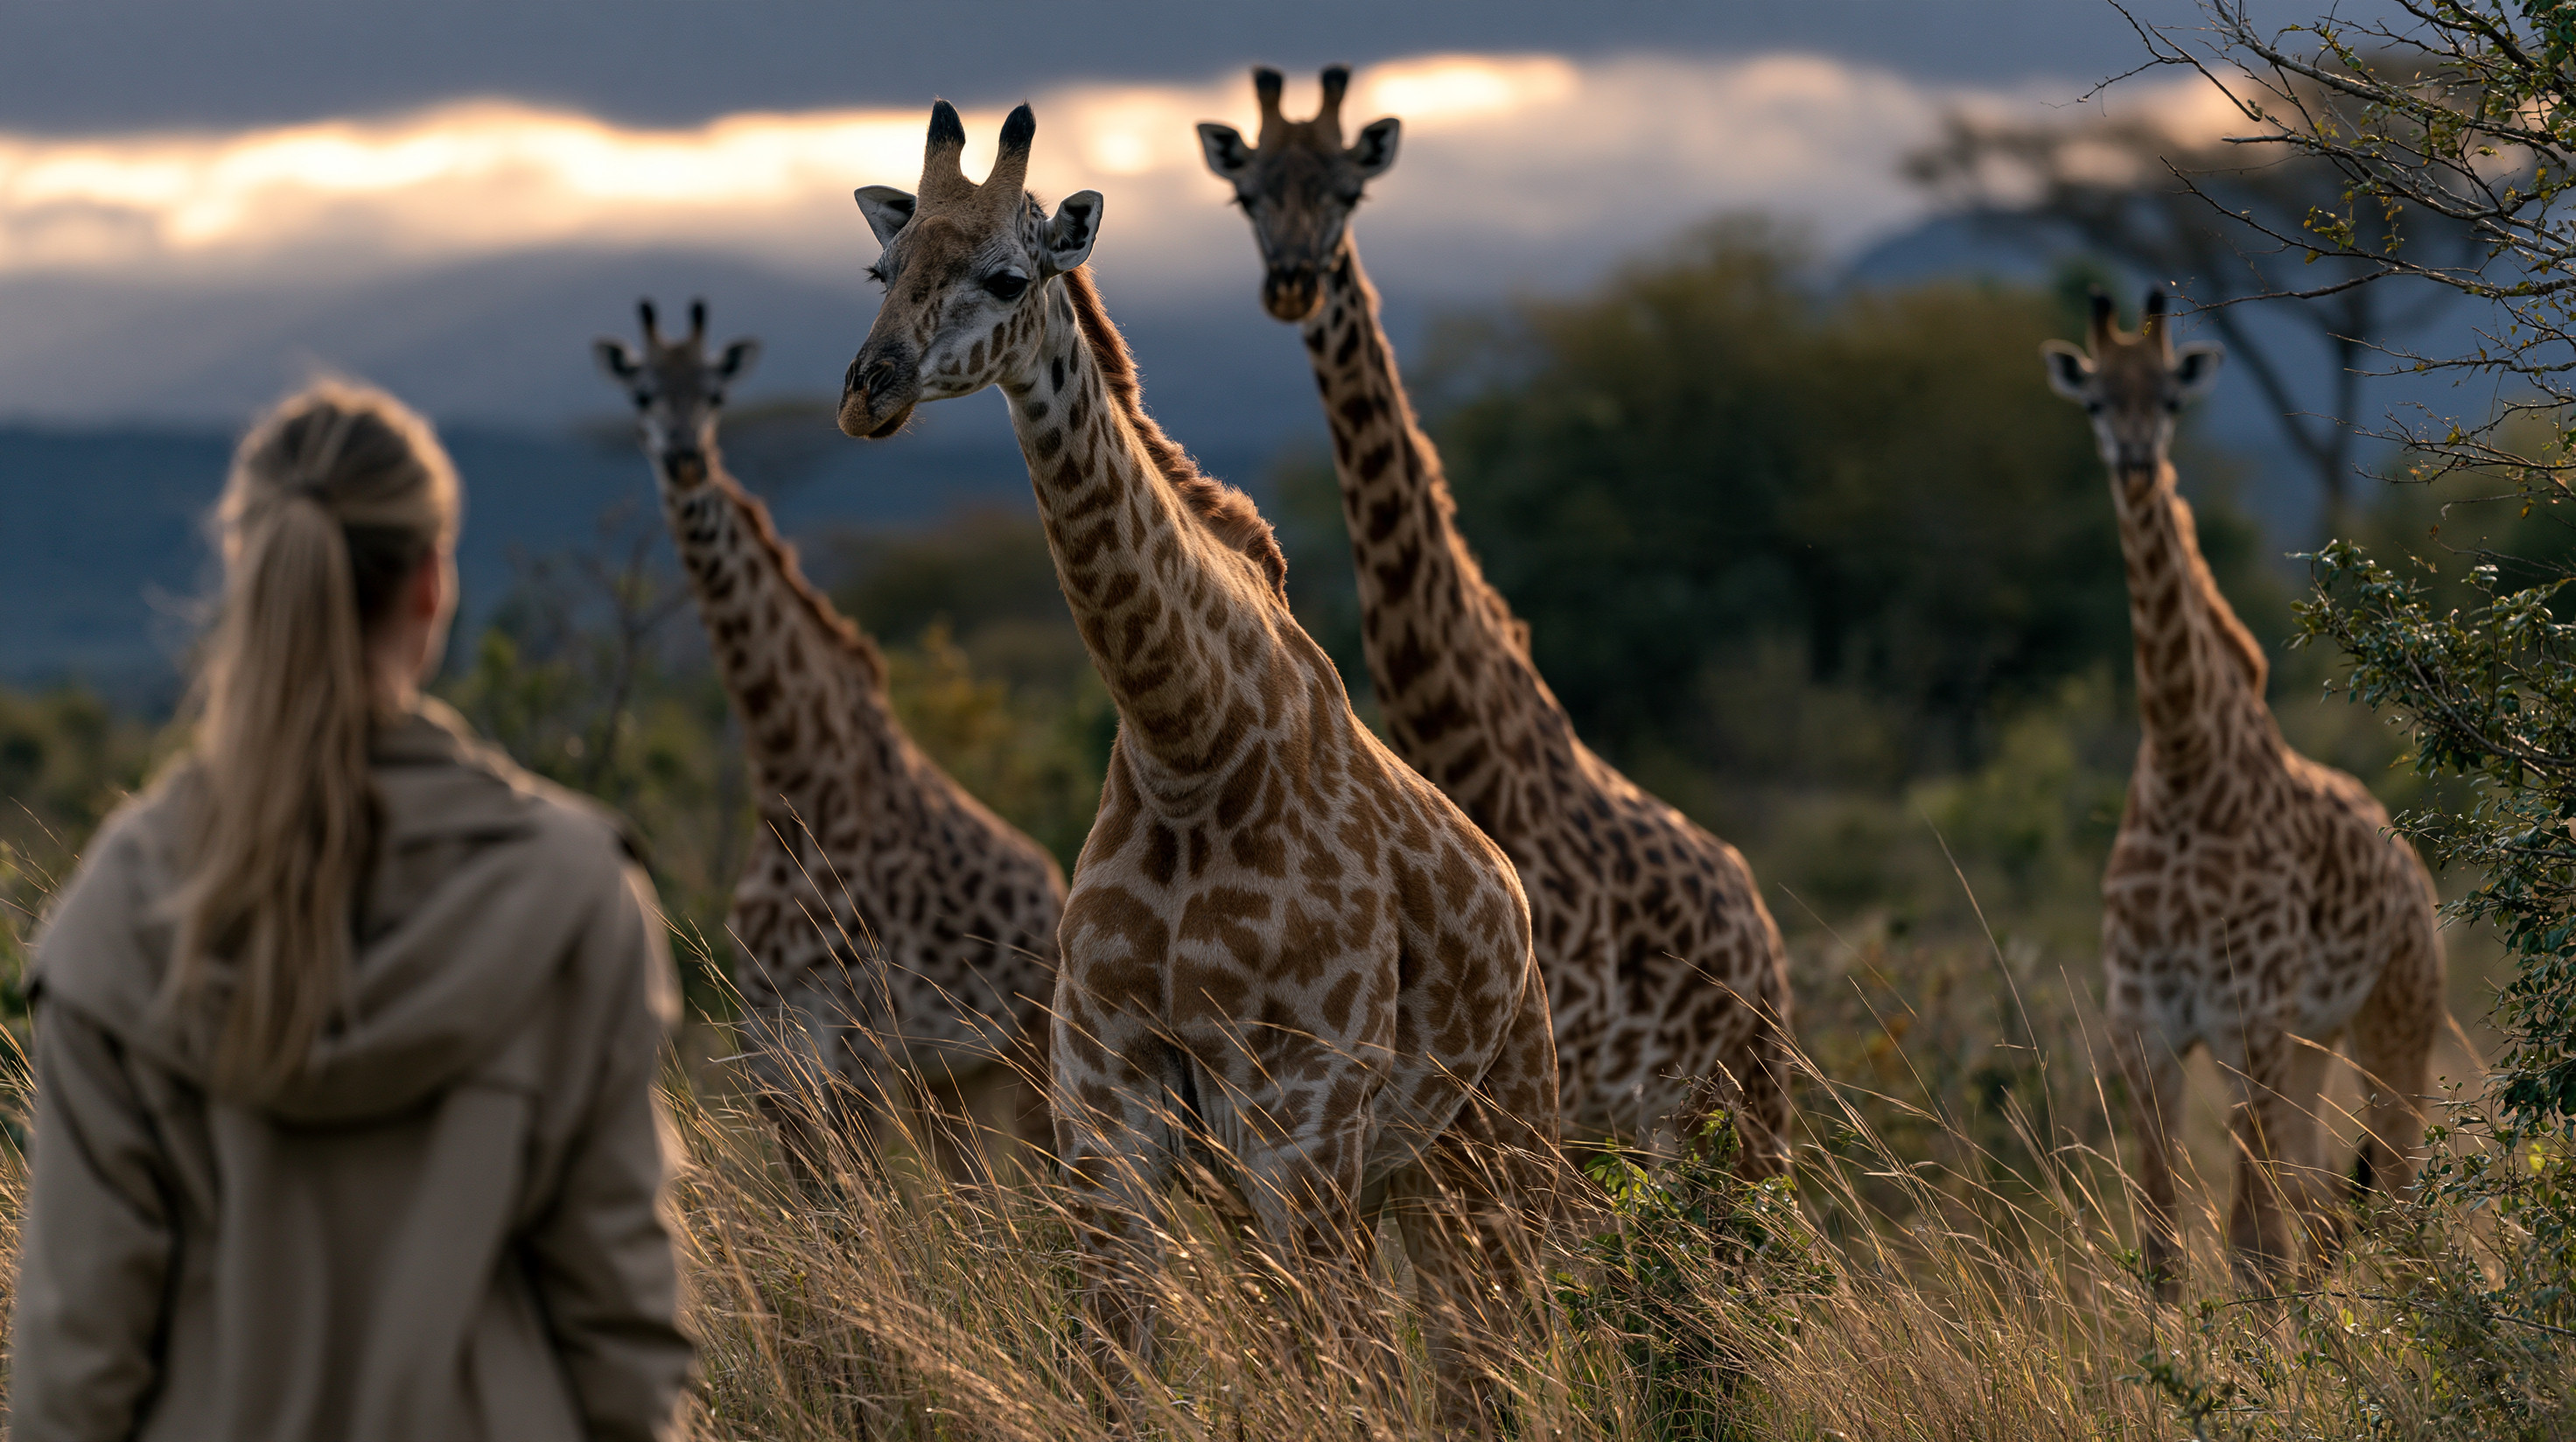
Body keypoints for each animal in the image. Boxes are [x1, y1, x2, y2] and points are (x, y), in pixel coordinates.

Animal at [594, 298, 1065, 1180]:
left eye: (714, 393)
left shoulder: (858, 1039)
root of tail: (1058, 881)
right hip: (954, 1077)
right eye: (641, 393)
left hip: (1030, 1044)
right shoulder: (769, 1046)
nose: (684, 459)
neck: (790, 775)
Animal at [836, 102, 1560, 1434]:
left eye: (1008, 276)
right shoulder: (1107, 1120)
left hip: (1493, 1151)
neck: (1187, 747)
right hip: (1367, 1185)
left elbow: (1329, 1390)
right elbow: (1113, 1374)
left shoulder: (1301, 1126)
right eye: (882, 269)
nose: (872, 391)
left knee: (1487, 1358)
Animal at [1198, 66, 1794, 1173]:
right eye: (1246, 194)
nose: (1295, 282)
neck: (1458, 737)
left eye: (1349, 191)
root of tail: (1762, 925)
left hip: (1736, 1099)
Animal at [2043, 289, 2444, 1292]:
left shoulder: (2243, 1023)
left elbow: (2251, 1249)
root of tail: (2415, 871)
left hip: (2393, 1021)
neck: (2186, 765)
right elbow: (2163, 1249)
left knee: (2394, 1203)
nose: (2136, 461)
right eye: (2095, 401)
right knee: (2324, 1205)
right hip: (2310, 1044)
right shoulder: (2144, 1028)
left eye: (2170, 399)